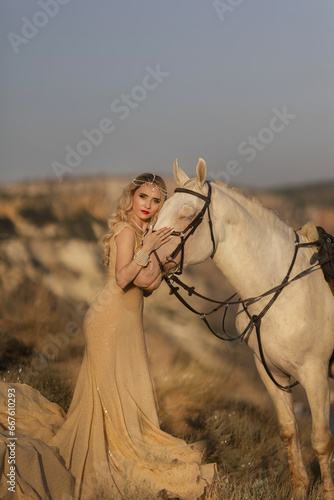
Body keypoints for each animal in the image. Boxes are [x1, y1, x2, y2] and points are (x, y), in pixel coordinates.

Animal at [155, 159, 334, 500]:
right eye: (159, 209)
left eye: (186, 213)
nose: (144, 255)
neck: (283, 289)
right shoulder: (271, 373)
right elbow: (289, 431)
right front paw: (300, 489)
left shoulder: (316, 375)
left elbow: (321, 440)